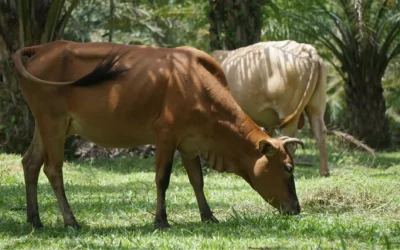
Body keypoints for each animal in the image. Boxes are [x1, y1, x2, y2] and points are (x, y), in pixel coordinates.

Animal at [14, 40, 304, 229]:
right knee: (52, 169)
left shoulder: (189, 143)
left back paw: (34, 219)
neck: (199, 85)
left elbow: (197, 180)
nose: (296, 208)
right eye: (288, 168)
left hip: (47, 125)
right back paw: (70, 220)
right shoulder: (166, 134)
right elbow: (162, 179)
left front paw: (208, 216)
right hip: (53, 123)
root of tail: (42, 48)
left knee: (30, 163)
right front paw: (161, 220)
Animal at [211, 40, 330, 176]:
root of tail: (305, 48)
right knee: (320, 131)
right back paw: (324, 171)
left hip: (287, 111)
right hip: (316, 106)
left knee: (290, 137)